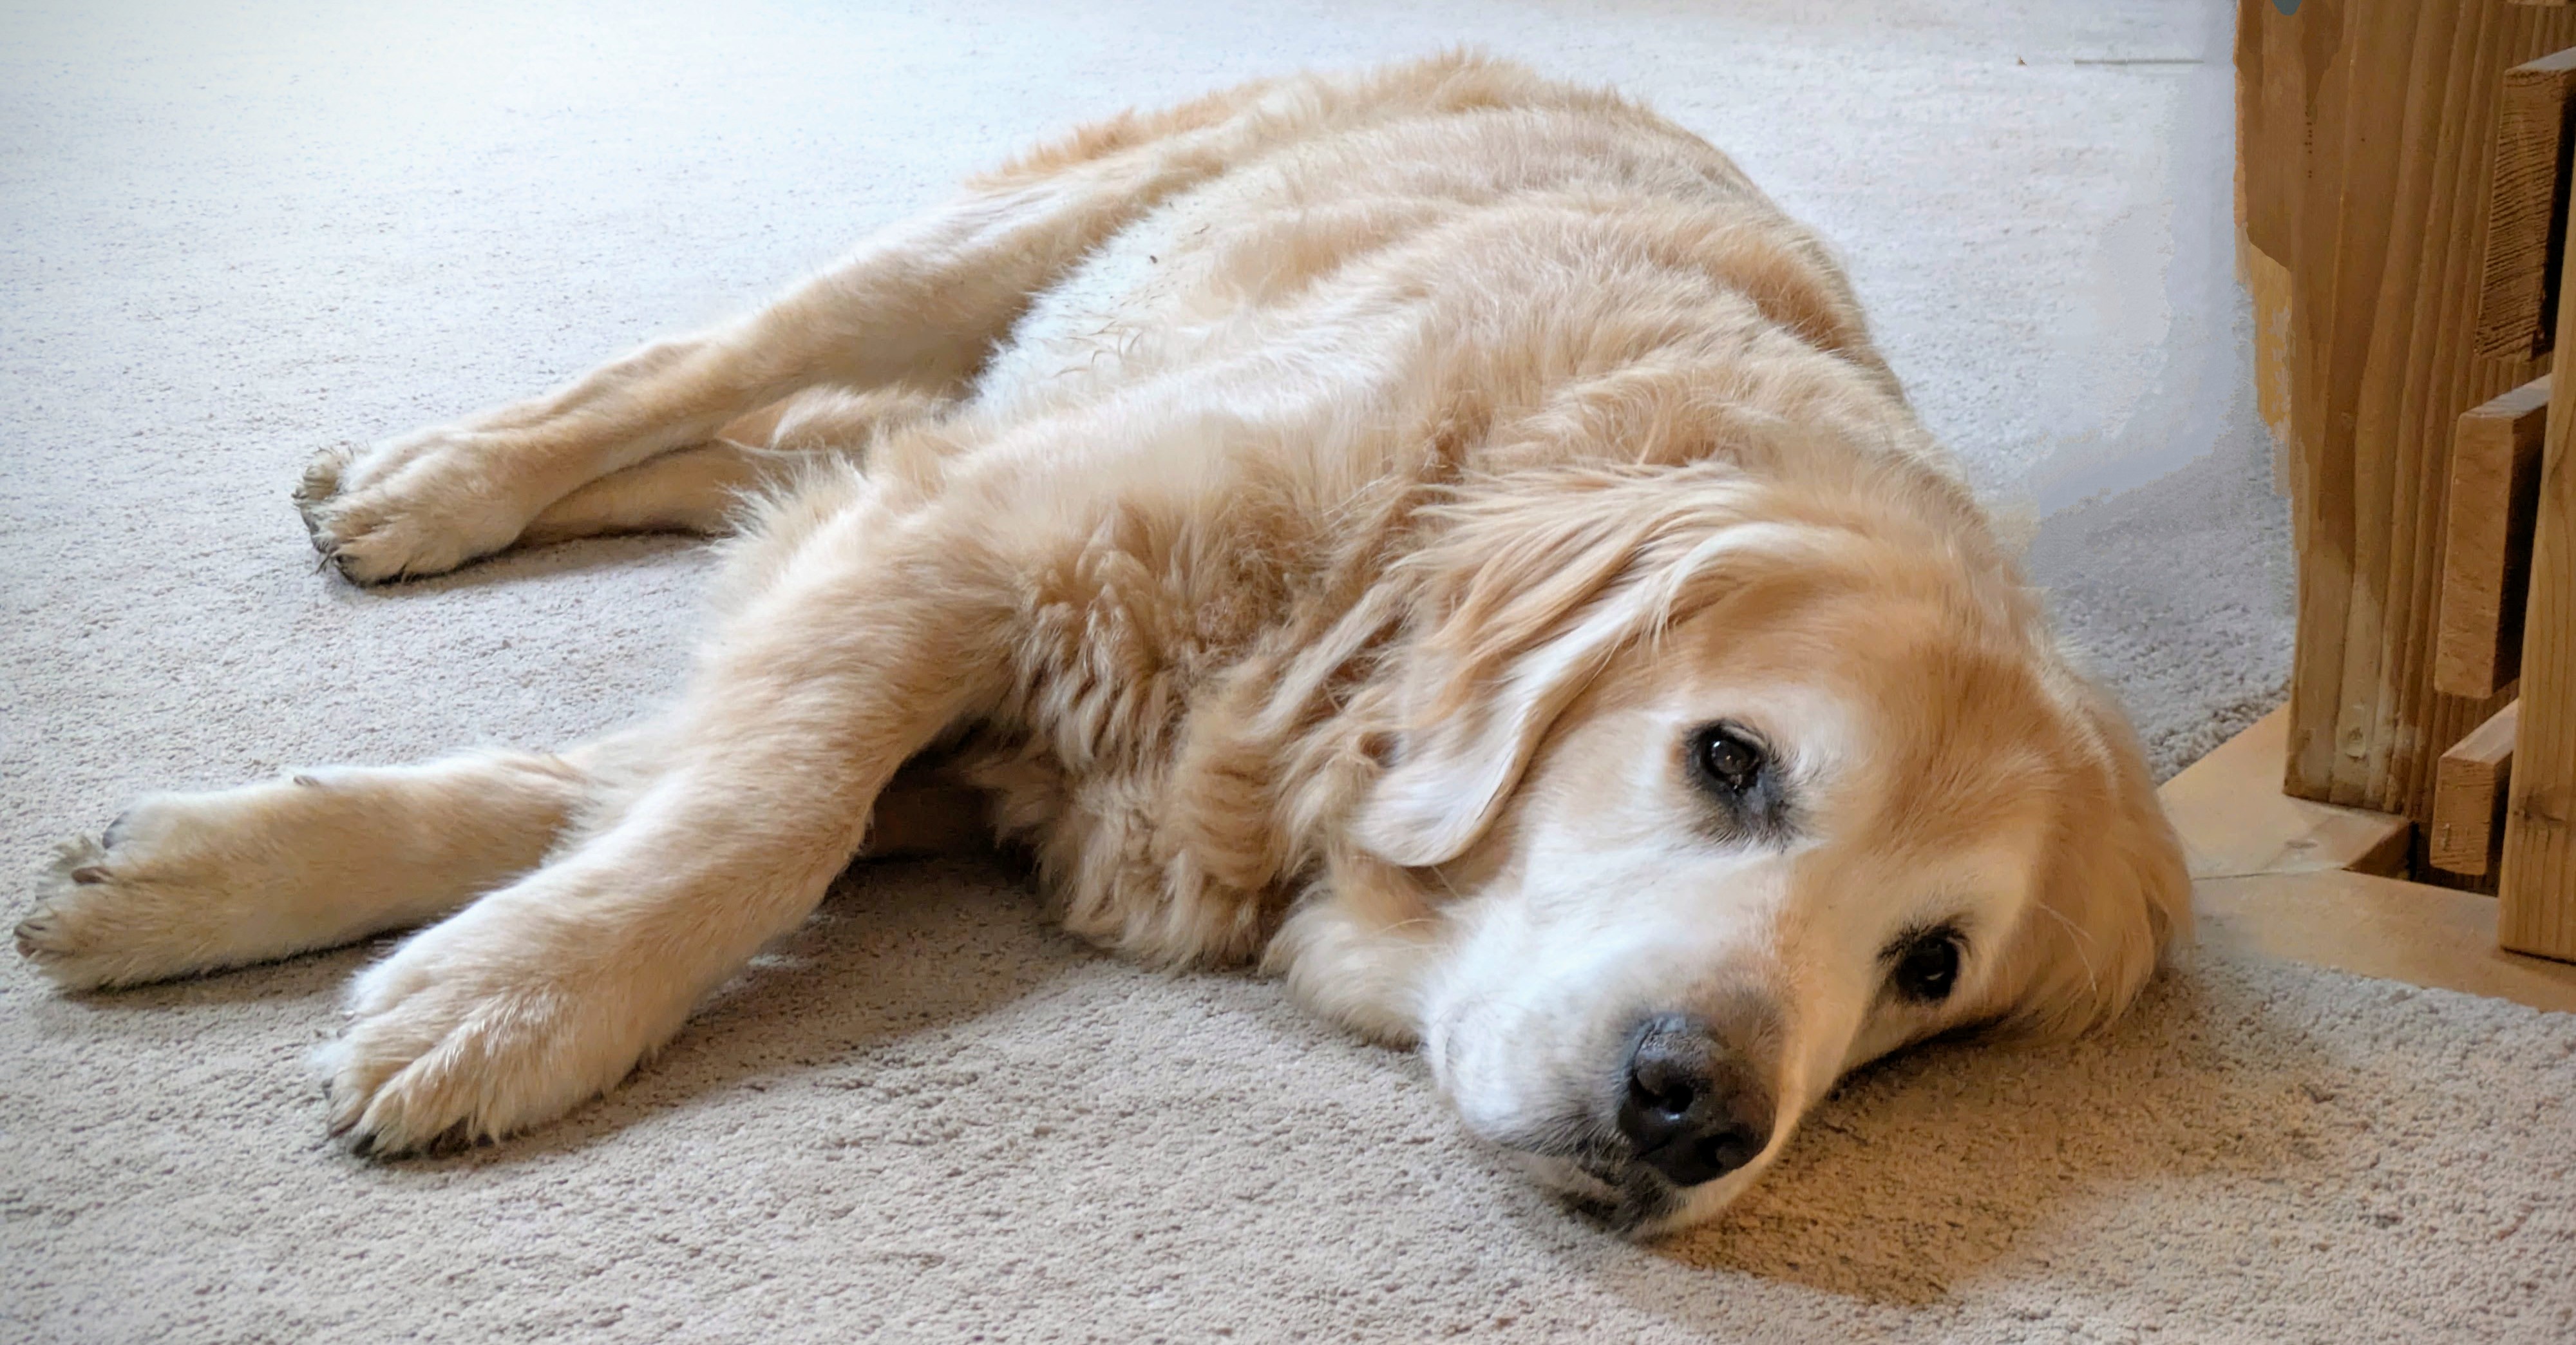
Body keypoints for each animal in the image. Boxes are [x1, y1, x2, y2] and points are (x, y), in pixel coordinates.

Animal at [15, 55, 2195, 1237]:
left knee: (790, 446)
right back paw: (429, 484)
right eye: (1727, 761)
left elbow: (625, 787)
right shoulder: (975, 555)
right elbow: (758, 816)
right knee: (694, 376)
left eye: (1928, 969)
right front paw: (502, 1004)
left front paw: (200, 883)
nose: (1696, 1113)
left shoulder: (978, 718)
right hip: (999, 246)